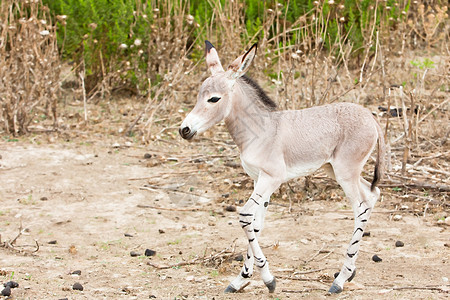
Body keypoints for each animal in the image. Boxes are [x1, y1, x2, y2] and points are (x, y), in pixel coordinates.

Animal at [179, 41, 386, 294]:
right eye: (199, 96)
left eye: (214, 99)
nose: (184, 130)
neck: (260, 130)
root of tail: (370, 116)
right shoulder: (258, 180)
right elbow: (255, 224)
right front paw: (242, 279)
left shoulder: (271, 179)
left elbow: (245, 216)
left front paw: (267, 279)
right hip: (335, 169)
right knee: (372, 194)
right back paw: (350, 272)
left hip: (345, 173)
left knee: (361, 207)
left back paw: (340, 280)